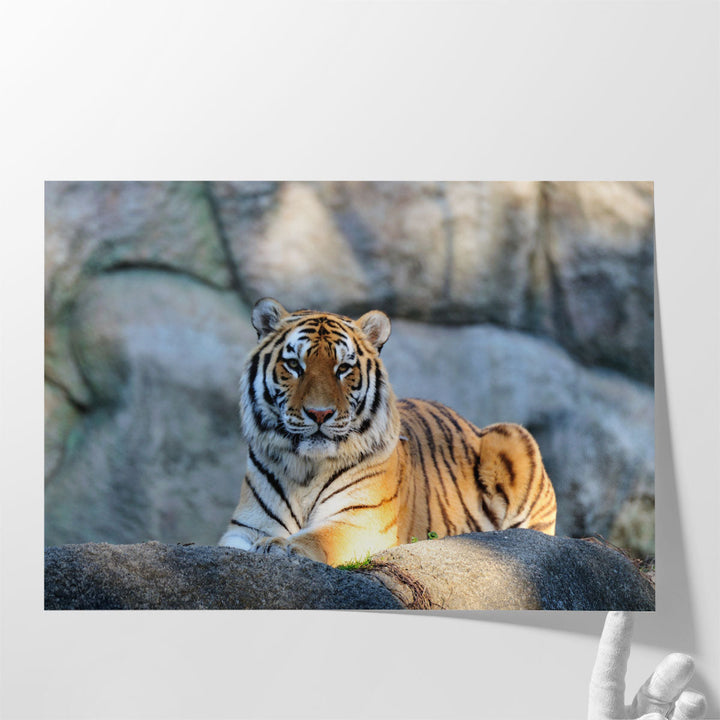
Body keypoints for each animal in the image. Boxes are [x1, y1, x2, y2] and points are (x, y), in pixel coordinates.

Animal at [219, 297, 557, 567]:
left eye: (343, 368)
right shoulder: (246, 527)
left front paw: (279, 547)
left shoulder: (360, 521)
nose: (319, 414)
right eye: (293, 365)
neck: (306, 468)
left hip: (513, 436)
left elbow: (315, 538)